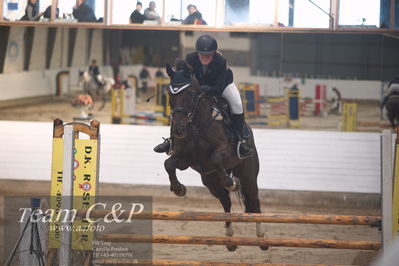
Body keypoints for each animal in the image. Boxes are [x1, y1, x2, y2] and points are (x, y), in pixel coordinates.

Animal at [161, 59, 268, 251]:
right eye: (170, 95)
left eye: (190, 93)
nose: (178, 130)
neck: (196, 125)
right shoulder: (186, 159)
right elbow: (169, 164)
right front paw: (179, 189)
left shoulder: (224, 152)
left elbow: (216, 158)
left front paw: (232, 183)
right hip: (210, 181)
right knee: (226, 201)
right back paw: (230, 239)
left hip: (248, 175)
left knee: (254, 200)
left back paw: (261, 237)